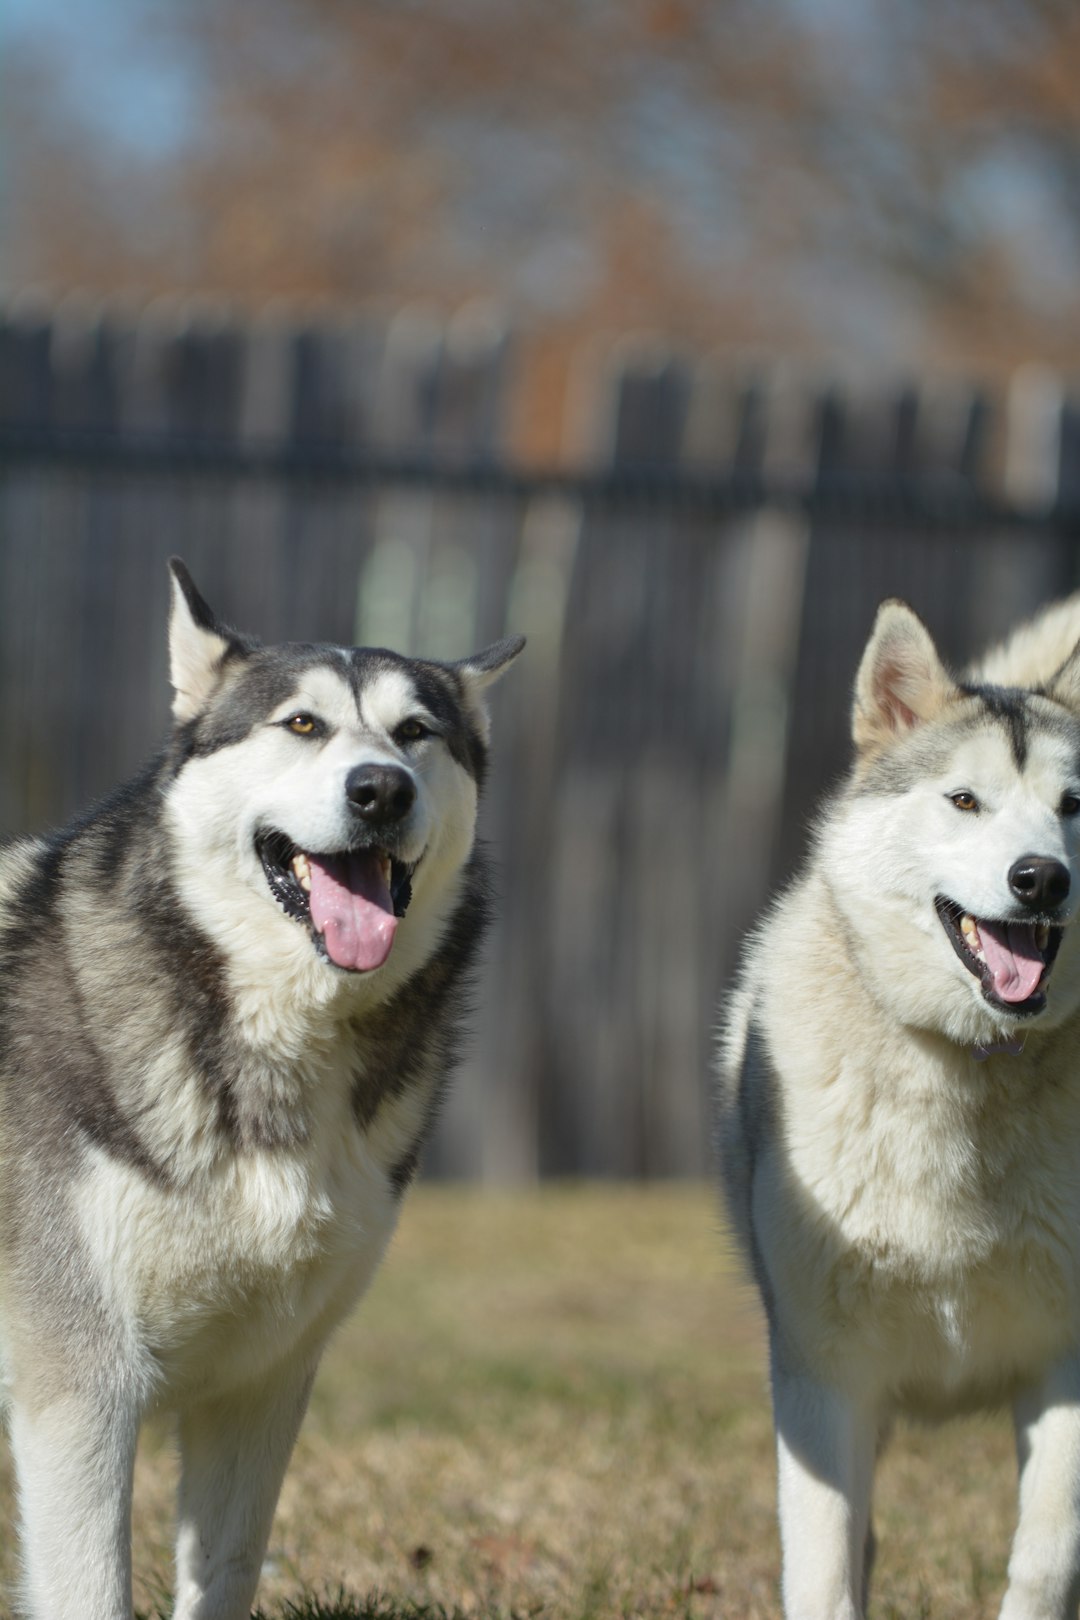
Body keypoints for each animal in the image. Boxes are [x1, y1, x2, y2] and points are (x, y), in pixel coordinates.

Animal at [0, 560, 524, 1620]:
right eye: (303, 725)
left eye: (416, 732)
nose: (380, 789)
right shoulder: (81, 1382)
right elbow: (91, 1587)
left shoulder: (263, 1379)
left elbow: (226, 1573)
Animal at [718, 596, 1080, 1620]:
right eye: (964, 802)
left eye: (1075, 806)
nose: (1044, 877)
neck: (972, 1065)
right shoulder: (821, 1372)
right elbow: (825, 1569)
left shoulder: (1065, 1368)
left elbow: (1044, 1560)